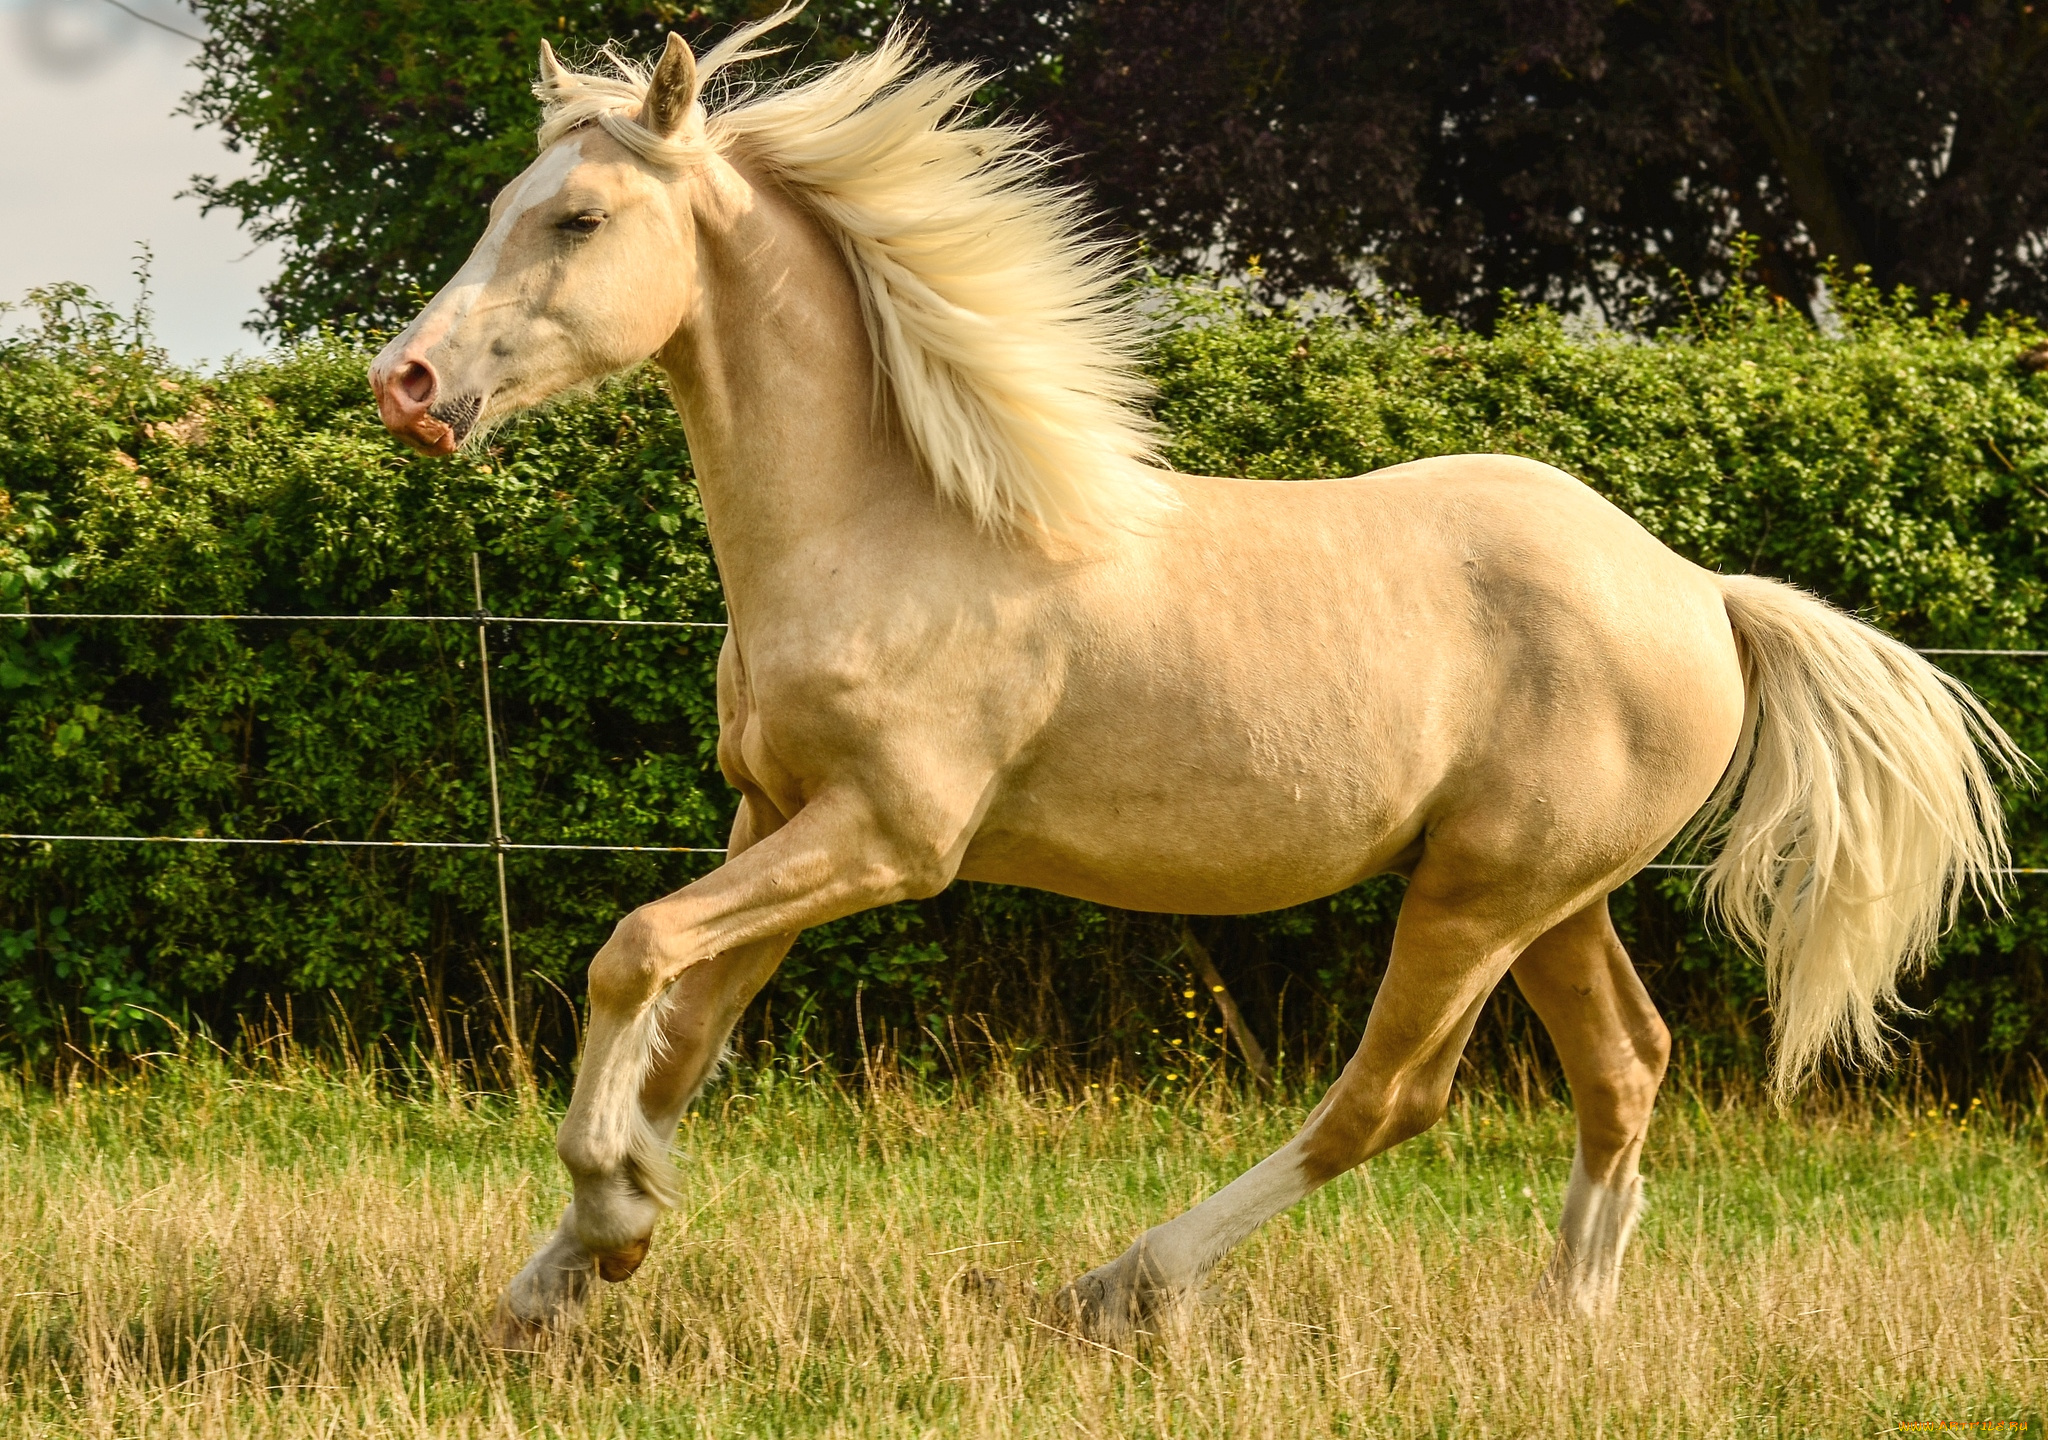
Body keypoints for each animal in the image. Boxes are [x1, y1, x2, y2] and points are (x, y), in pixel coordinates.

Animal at [368, 11, 2015, 1343]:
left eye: (577, 218)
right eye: (505, 205)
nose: (405, 384)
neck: (892, 523)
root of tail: (1702, 593)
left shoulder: (888, 840)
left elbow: (630, 954)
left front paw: (612, 1218)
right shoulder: (772, 816)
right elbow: (682, 1031)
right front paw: (567, 1274)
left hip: (1479, 895)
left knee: (1389, 1097)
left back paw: (1122, 1287)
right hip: (1556, 896)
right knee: (1624, 1065)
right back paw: (1569, 1320)